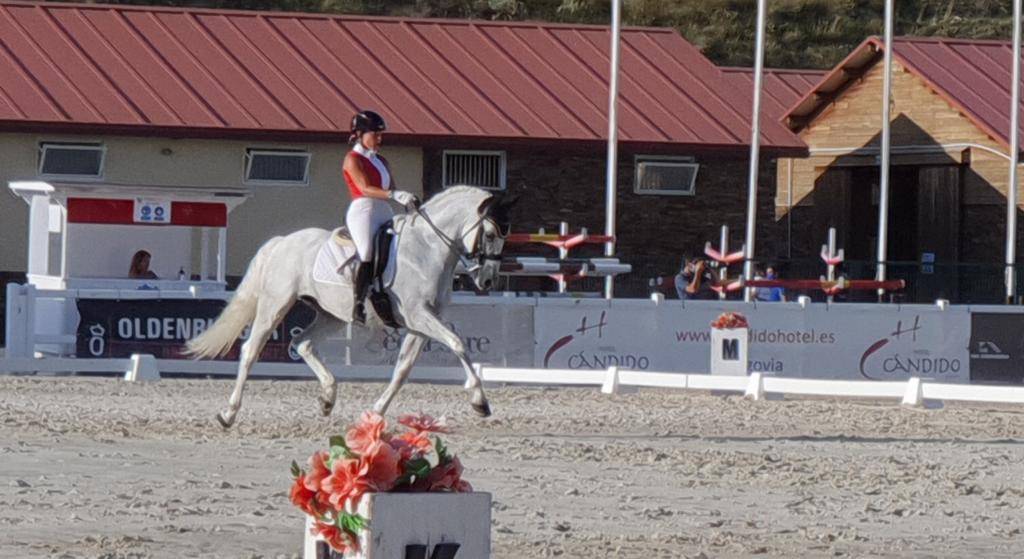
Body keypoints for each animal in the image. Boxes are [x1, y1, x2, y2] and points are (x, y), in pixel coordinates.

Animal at [185, 186, 513, 428]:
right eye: (490, 234)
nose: (487, 280)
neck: (426, 250)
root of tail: (282, 242)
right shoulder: (419, 316)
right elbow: (457, 343)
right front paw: (480, 402)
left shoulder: (421, 323)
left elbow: (403, 369)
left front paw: (376, 412)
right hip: (275, 304)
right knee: (251, 350)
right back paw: (228, 414)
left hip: (331, 314)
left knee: (302, 343)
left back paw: (328, 398)